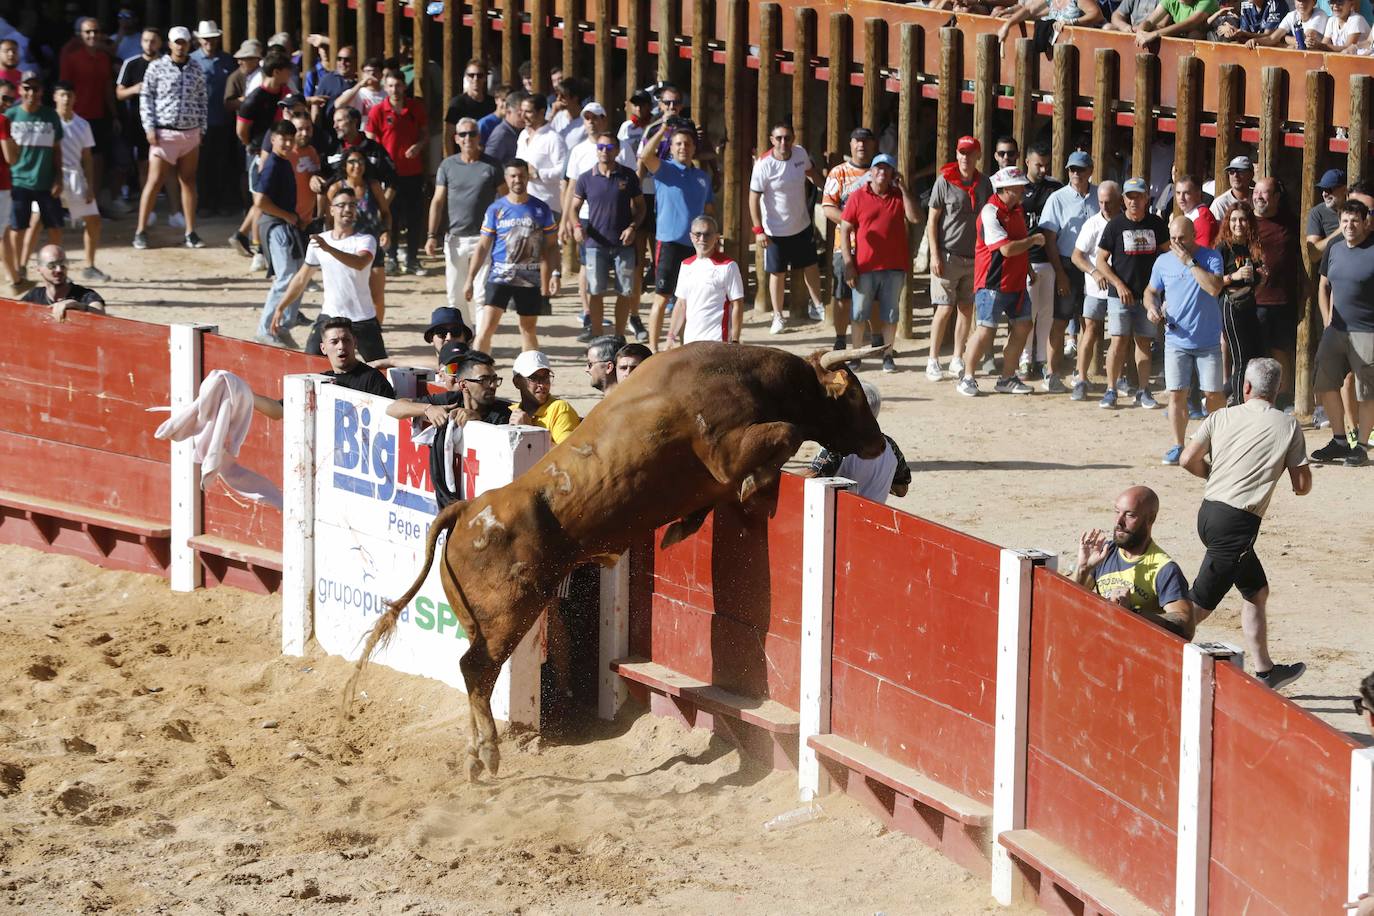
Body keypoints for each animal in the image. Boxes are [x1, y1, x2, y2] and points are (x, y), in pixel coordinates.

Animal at [348, 343, 884, 780]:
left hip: (481, 618)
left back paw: (474, 755)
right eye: (854, 395)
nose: (879, 444)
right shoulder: (728, 449)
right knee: (476, 668)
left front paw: (685, 527)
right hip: (510, 613)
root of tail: (468, 509)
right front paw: (755, 487)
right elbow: (785, 432)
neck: (752, 376)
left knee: (471, 670)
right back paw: (490, 754)